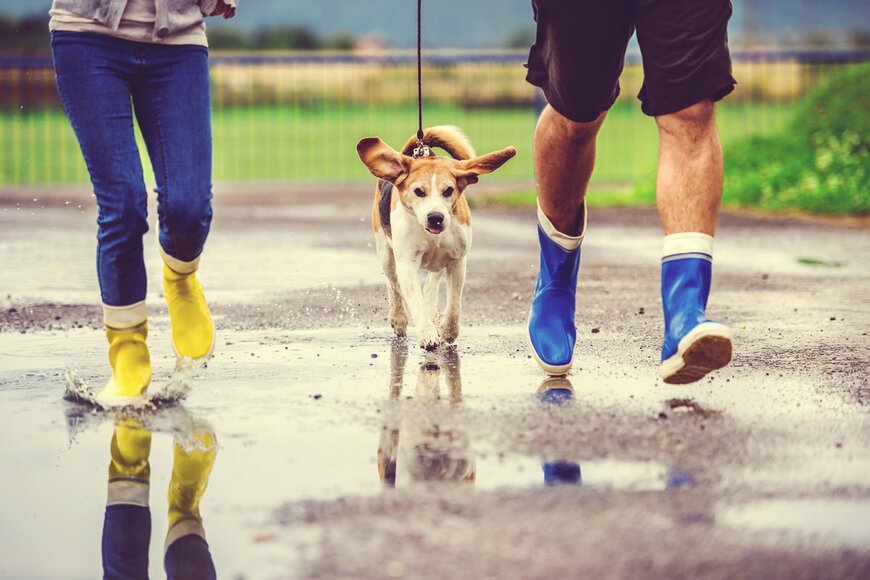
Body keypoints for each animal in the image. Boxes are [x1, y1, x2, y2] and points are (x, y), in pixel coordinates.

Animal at [356, 128, 516, 348]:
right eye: (418, 191)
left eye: (448, 190)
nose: (436, 218)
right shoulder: (407, 264)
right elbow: (415, 301)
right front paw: (427, 334)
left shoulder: (458, 261)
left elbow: (454, 303)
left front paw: (448, 331)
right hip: (385, 253)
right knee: (393, 285)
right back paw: (399, 319)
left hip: (437, 264)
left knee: (431, 286)